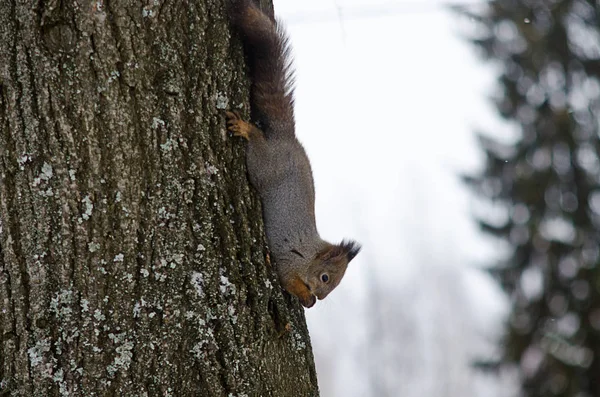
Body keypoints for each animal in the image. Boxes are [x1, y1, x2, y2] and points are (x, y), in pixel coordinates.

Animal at [224, 0, 356, 308]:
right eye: (325, 278)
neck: (309, 255)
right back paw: (246, 129)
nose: (321, 297)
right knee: (257, 146)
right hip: (263, 165)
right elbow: (288, 281)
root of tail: (286, 138)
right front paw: (306, 298)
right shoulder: (288, 261)